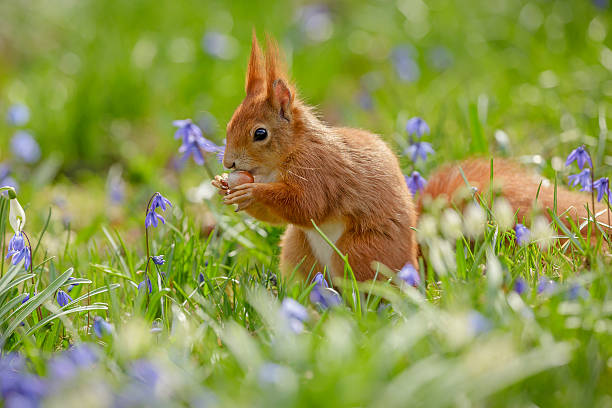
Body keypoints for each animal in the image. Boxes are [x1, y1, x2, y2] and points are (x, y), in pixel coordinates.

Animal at [213, 35, 604, 280]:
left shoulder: (322, 171)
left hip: (361, 250)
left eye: (260, 133)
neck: (287, 154)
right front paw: (226, 188)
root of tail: (415, 264)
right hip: (298, 251)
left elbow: (307, 205)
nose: (228, 164)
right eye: (231, 122)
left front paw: (249, 192)